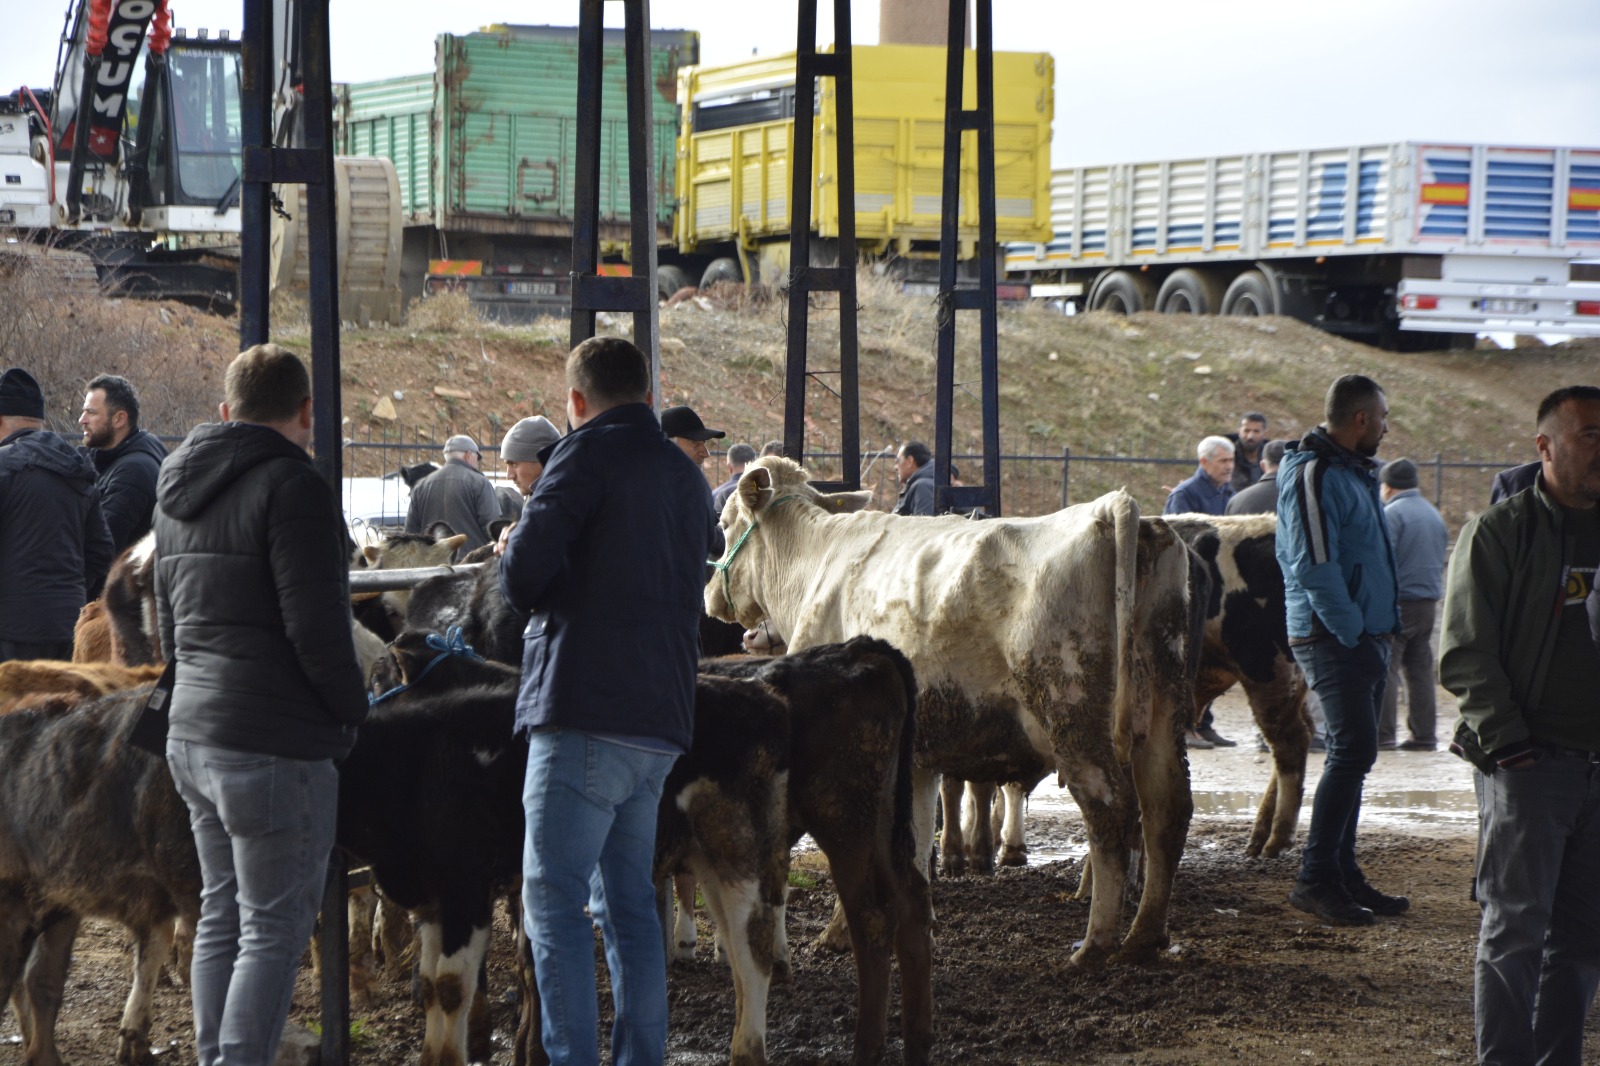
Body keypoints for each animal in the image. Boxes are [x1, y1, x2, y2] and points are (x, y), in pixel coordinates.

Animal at [707, 457, 1196, 960]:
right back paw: (1145, 936)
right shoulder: (918, 756)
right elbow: (916, 842)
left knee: (1110, 812)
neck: (816, 564)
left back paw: (1095, 944)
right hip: (1162, 707)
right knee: (1167, 809)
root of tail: (1114, 507)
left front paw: (840, 932)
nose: (710, 595)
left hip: (1071, 712)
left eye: (723, 524)